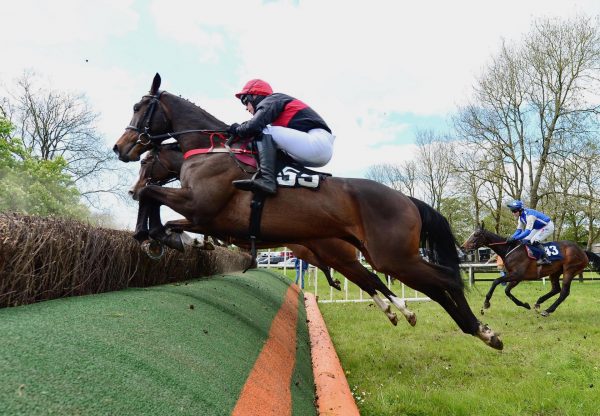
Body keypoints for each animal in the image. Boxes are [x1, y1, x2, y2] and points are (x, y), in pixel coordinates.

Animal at [111, 73, 502, 350]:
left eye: (137, 107)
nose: (120, 147)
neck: (211, 149)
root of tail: (407, 200)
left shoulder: (201, 207)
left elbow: (152, 194)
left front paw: (157, 234)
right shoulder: (205, 216)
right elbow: (158, 206)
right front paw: (162, 237)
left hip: (392, 256)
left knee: (443, 280)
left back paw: (481, 330)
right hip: (373, 255)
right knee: (405, 283)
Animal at [460, 226, 600, 316]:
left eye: (476, 235)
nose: (462, 246)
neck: (510, 249)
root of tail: (583, 251)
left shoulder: (516, 274)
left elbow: (496, 281)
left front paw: (486, 303)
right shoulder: (516, 277)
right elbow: (507, 291)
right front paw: (525, 304)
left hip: (569, 270)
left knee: (564, 292)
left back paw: (548, 310)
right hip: (555, 272)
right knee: (556, 289)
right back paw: (538, 303)